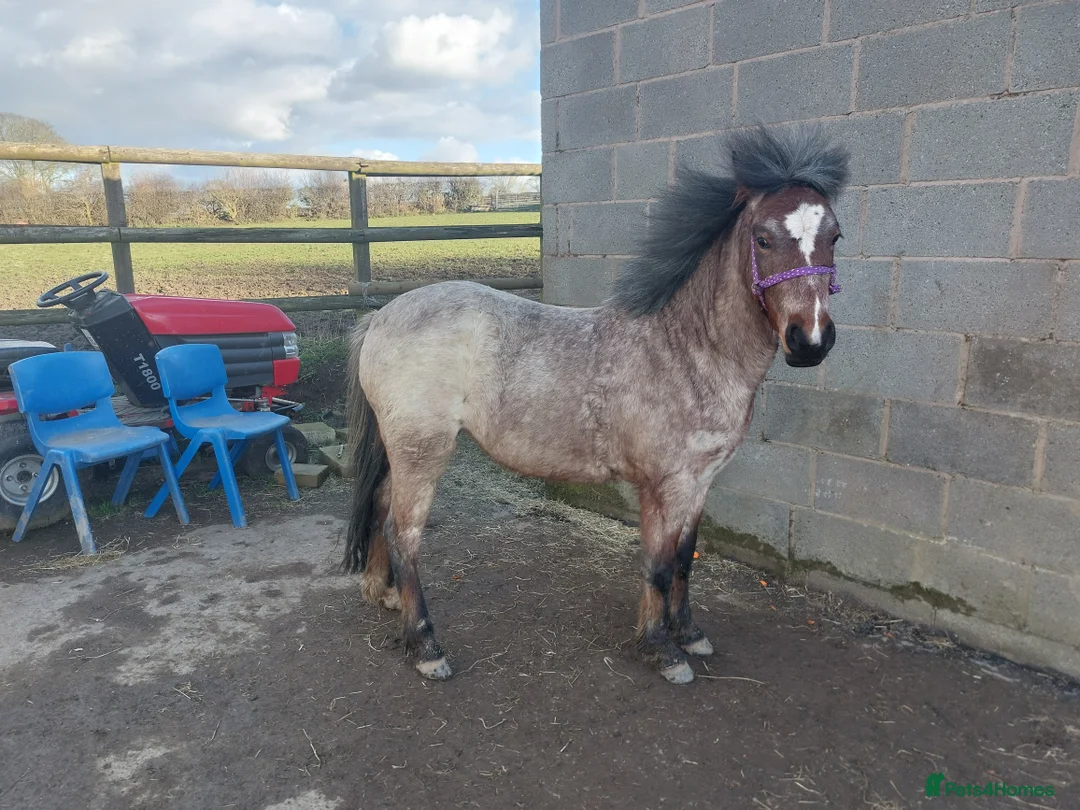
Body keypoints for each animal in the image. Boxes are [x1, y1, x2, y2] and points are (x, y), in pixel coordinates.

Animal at [342, 125, 850, 685]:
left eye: (834, 236)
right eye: (763, 238)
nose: (810, 340)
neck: (688, 347)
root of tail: (381, 317)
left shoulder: (699, 483)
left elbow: (686, 558)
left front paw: (689, 634)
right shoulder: (665, 486)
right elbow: (658, 565)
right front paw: (662, 649)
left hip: (401, 451)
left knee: (381, 506)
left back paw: (384, 594)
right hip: (423, 452)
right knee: (404, 533)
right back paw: (426, 645)